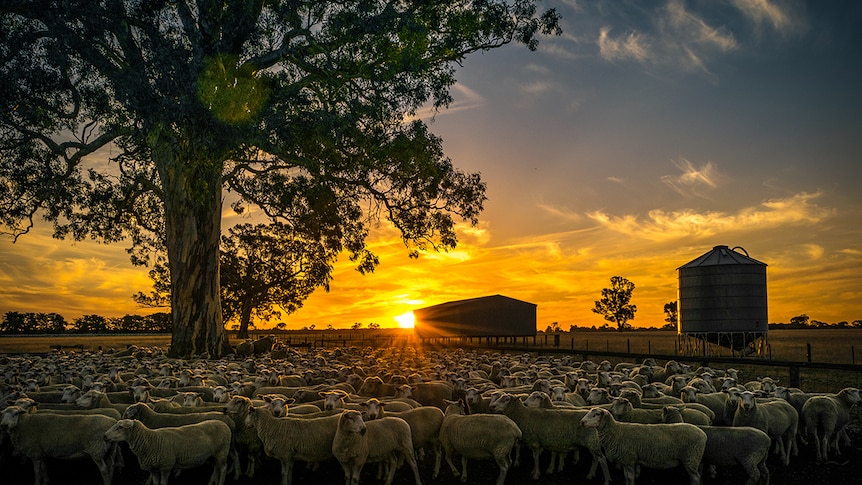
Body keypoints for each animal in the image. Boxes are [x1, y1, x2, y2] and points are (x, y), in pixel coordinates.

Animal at [580, 408, 708, 484]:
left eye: (596, 414)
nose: (582, 422)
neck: (615, 431)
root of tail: (703, 434)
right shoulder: (626, 460)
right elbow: (626, 477)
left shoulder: (629, 458)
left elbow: (630, 477)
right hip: (691, 459)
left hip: (691, 457)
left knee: (696, 477)